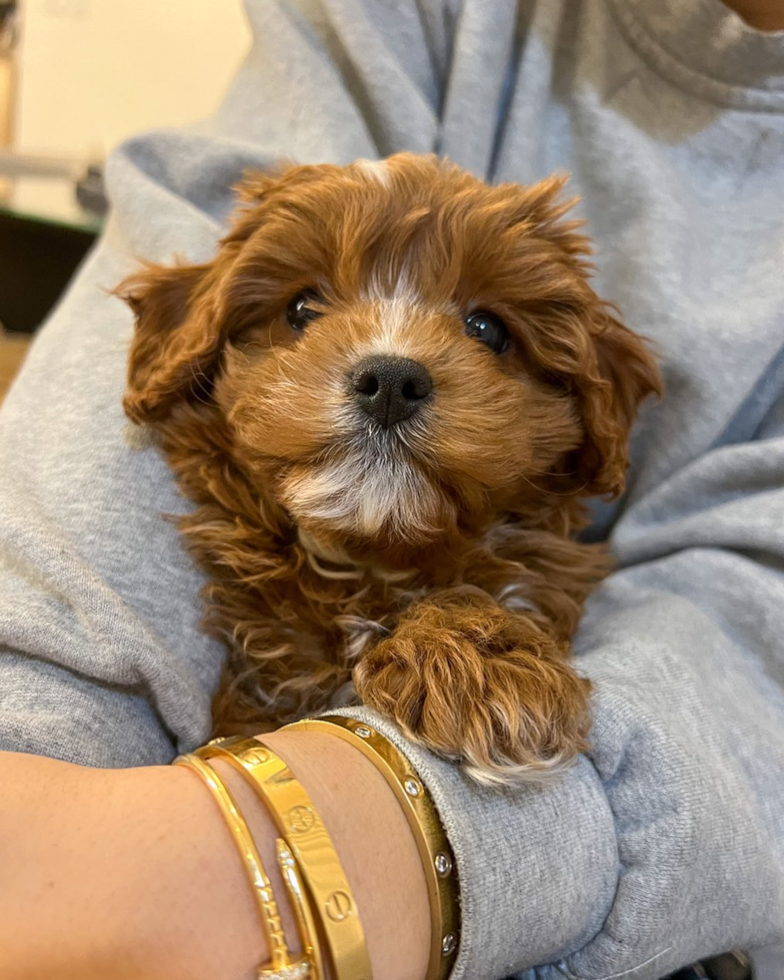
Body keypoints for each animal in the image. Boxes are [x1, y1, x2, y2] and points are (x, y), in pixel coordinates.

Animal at [121, 151, 660, 780]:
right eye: (301, 309)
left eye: (487, 330)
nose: (391, 382)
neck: (373, 563)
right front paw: (476, 662)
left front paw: (481, 660)